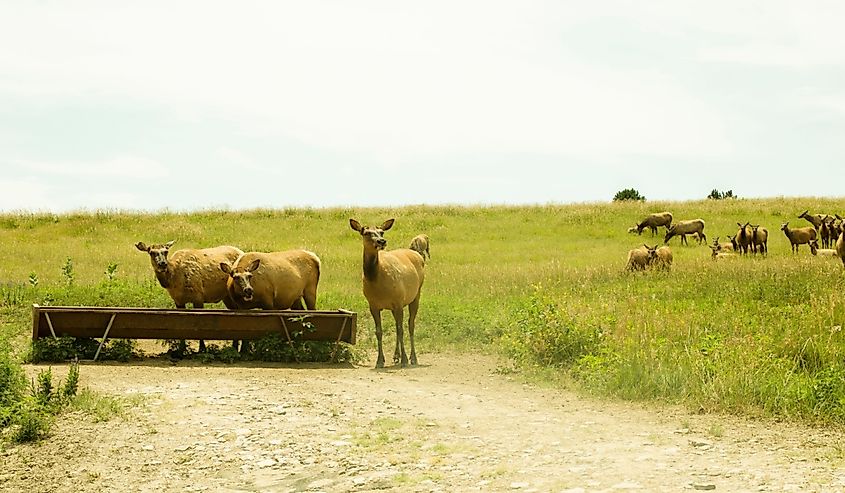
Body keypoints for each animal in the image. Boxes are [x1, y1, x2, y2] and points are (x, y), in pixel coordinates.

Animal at [350, 217, 426, 368]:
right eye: (366, 233)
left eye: (381, 232)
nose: (382, 241)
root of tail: (418, 255)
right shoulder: (373, 305)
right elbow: (379, 331)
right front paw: (380, 361)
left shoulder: (398, 301)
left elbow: (400, 329)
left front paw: (404, 360)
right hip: (395, 305)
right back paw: (396, 356)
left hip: (416, 294)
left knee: (410, 325)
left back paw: (412, 358)